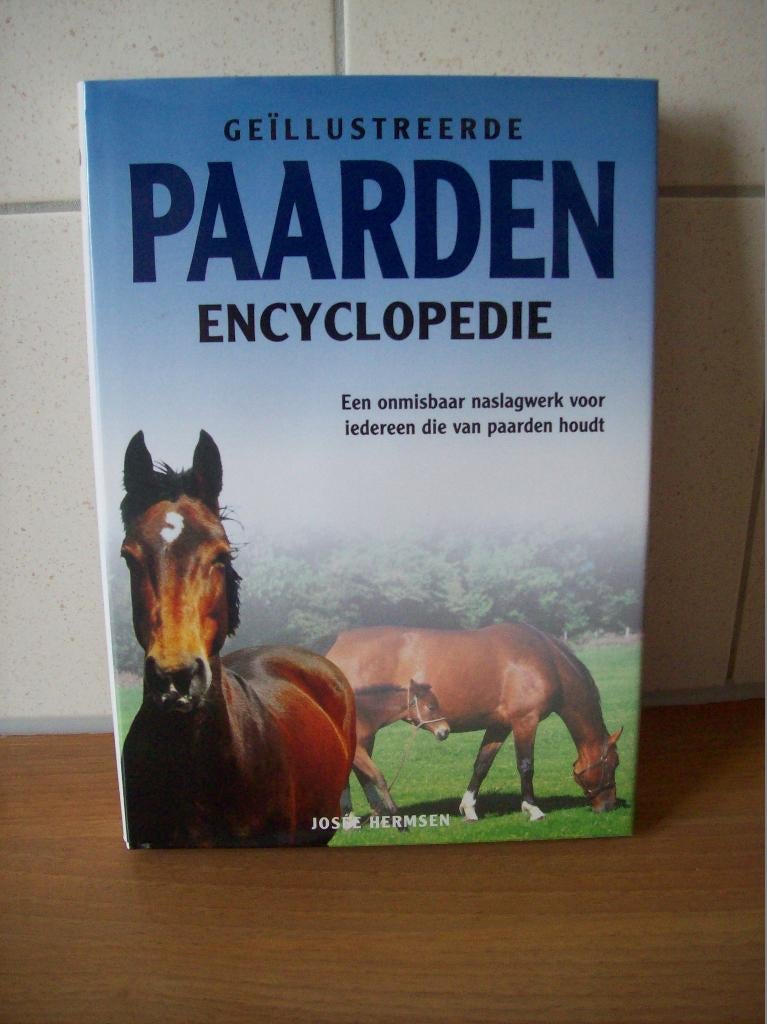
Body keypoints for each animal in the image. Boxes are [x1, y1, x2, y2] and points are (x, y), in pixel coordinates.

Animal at [339, 680, 449, 821]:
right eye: (431, 707)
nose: (445, 731)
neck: (361, 716)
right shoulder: (358, 752)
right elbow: (378, 777)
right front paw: (393, 812)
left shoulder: (364, 749)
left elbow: (365, 778)